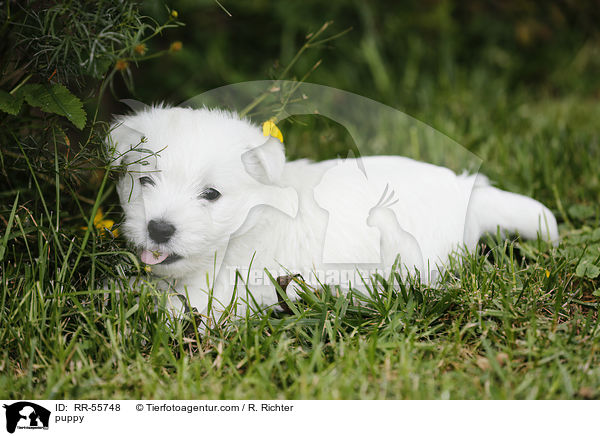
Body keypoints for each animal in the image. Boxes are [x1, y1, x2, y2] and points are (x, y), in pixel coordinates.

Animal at [106, 106, 556, 320]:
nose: (159, 229)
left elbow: (175, 308)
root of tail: (470, 194)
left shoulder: (222, 294)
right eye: (145, 182)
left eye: (211, 194)